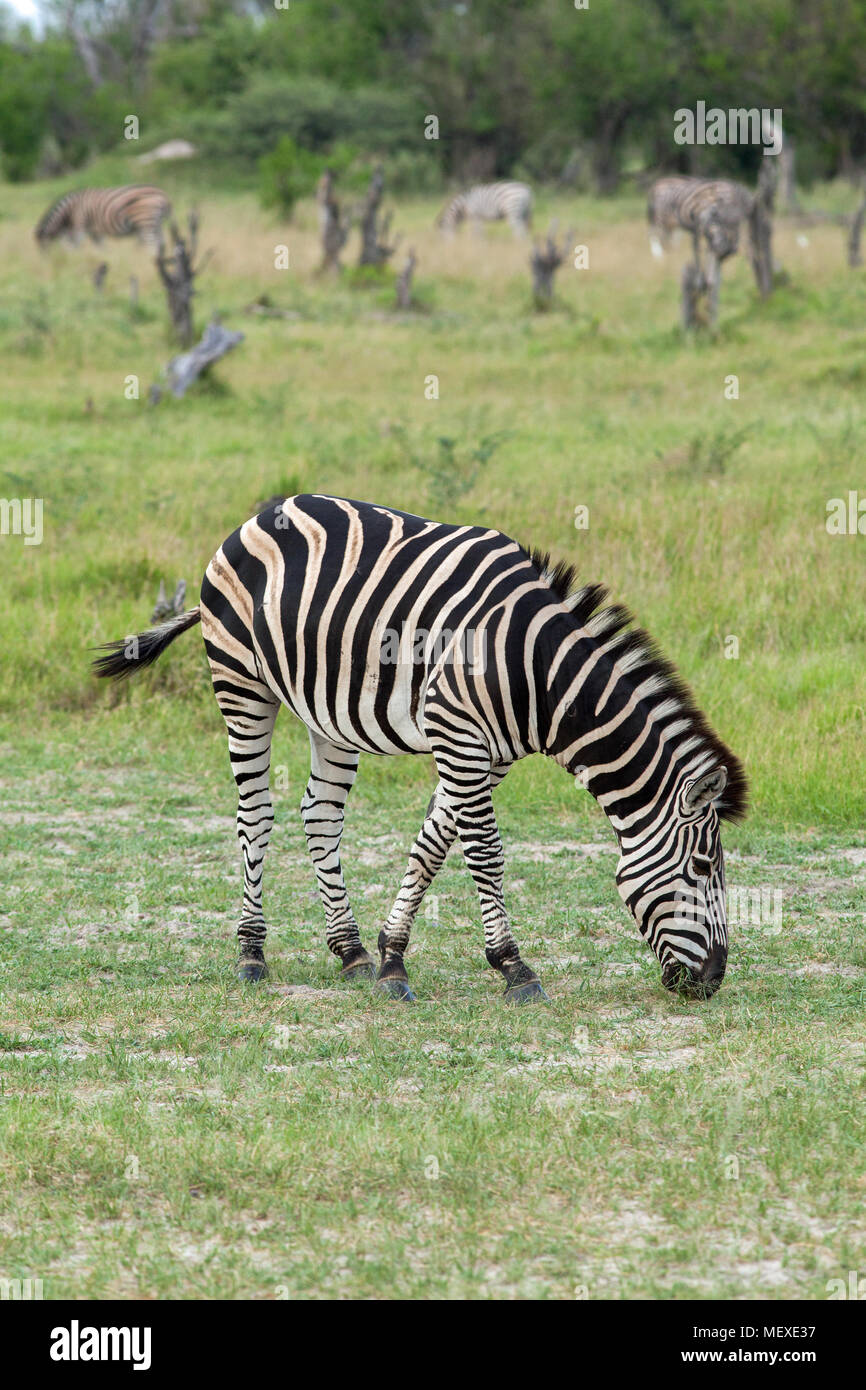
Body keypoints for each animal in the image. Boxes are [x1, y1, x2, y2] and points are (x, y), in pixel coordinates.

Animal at [34, 186, 171, 248]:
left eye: (43, 249)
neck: (70, 211)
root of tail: (163, 194)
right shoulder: (94, 231)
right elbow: (101, 249)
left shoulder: (80, 224)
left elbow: (76, 246)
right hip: (156, 224)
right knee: (161, 243)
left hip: (145, 221)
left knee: (152, 245)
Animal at [93, 494, 745, 1006]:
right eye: (703, 867)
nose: (713, 980)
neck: (537, 673)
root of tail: (261, 514)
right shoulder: (459, 736)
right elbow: (484, 853)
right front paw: (514, 968)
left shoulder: (487, 753)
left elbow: (434, 844)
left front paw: (390, 958)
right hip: (241, 683)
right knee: (254, 815)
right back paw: (251, 952)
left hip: (328, 711)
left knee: (320, 815)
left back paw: (349, 950)